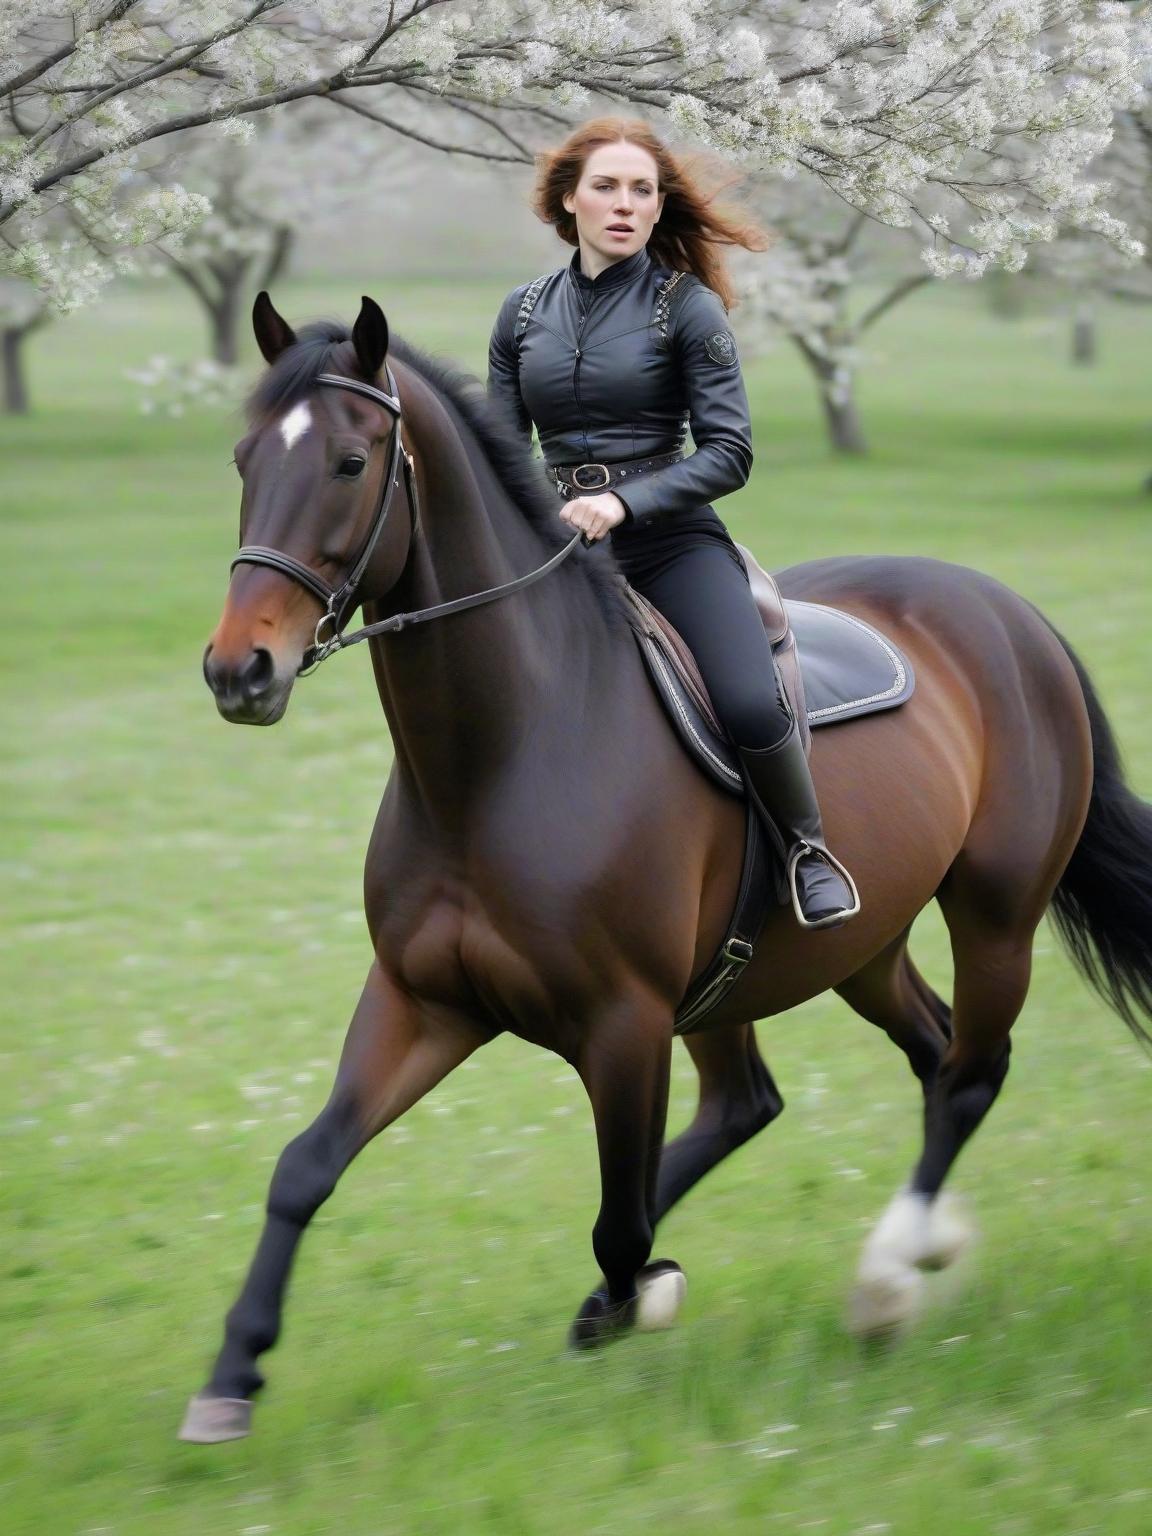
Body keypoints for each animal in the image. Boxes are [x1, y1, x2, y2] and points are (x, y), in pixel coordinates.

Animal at [183, 292, 1152, 1444]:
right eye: (243, 457)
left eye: (346, 461)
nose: (240, 671)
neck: (503, 753)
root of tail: (1010, 614)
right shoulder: (424, 1001)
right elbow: (306, 1165)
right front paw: (231, 1375)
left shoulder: (624, 1024)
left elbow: (622, 1226)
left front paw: (634, 1301)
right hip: (832, 949)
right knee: (854, 1073)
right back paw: (923, 1246)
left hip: (992, 915)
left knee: (966, 1074)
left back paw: (887, 1279)